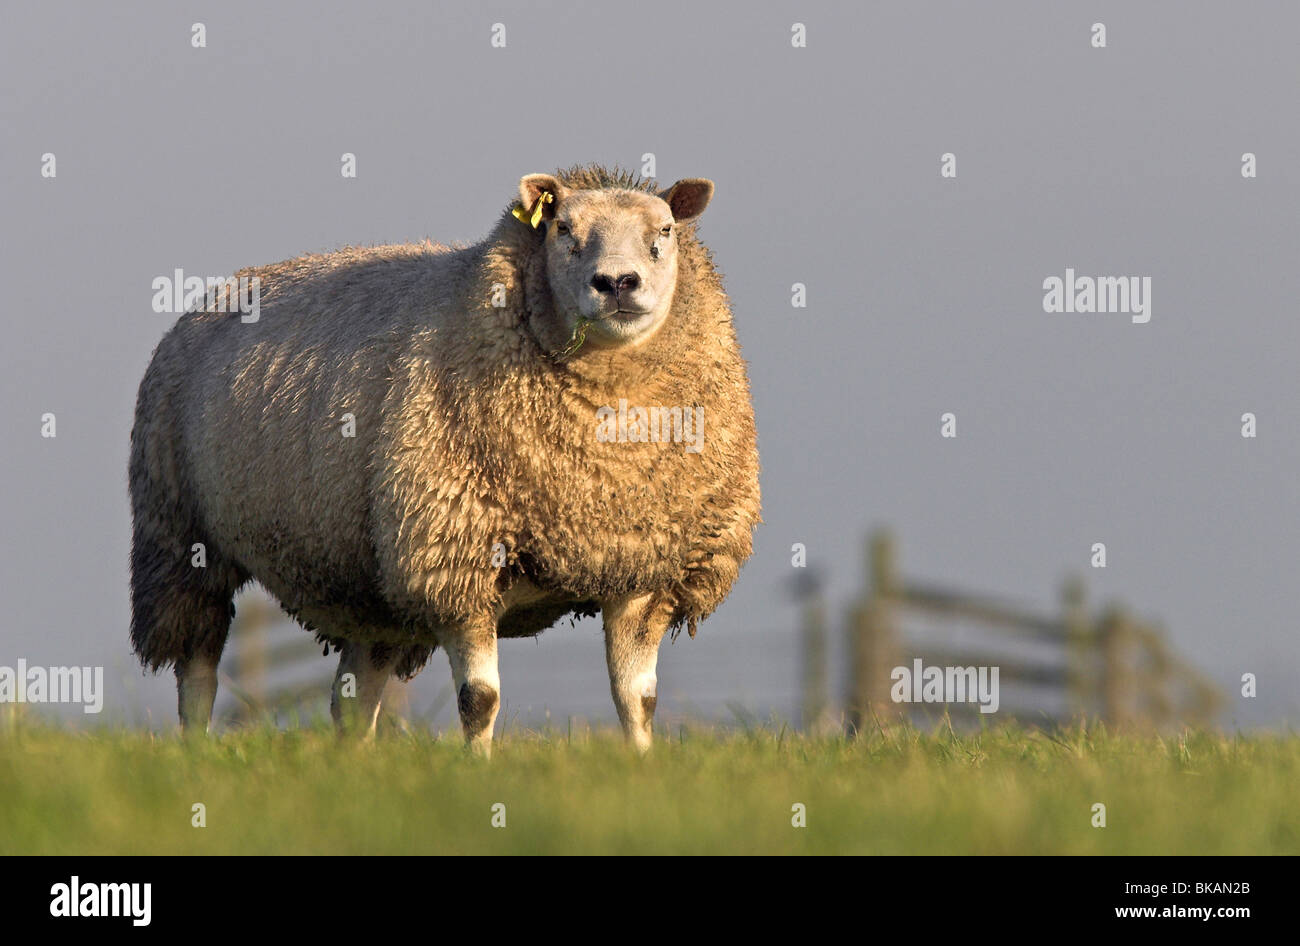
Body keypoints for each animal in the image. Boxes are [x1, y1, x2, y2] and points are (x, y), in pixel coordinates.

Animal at [129, 164, 759, 753]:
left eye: (666, 230)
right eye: (562, 228)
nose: (617, 283)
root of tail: (223, 291)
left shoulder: (646, 569)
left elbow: (638, 698)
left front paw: (641, 766)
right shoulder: (455, 561)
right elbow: (479, 700)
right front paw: (477, 771)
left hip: (372, 580)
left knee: (352, 697)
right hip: (179, 537)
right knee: (197, 669)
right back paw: (193, 750)